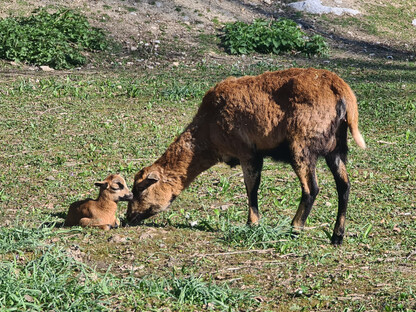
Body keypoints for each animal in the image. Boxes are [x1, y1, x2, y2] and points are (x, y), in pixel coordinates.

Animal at [127, 67, 364, 244]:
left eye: (140, 189)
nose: (128, 218)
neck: (207, 130)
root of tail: (342, 91)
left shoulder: (247, 152)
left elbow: (251, 188)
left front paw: (253, 223)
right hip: (336, 148)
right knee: (344, 186)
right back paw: (337, 236)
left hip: (302, 145)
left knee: (311, 189)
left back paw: (295, 228)